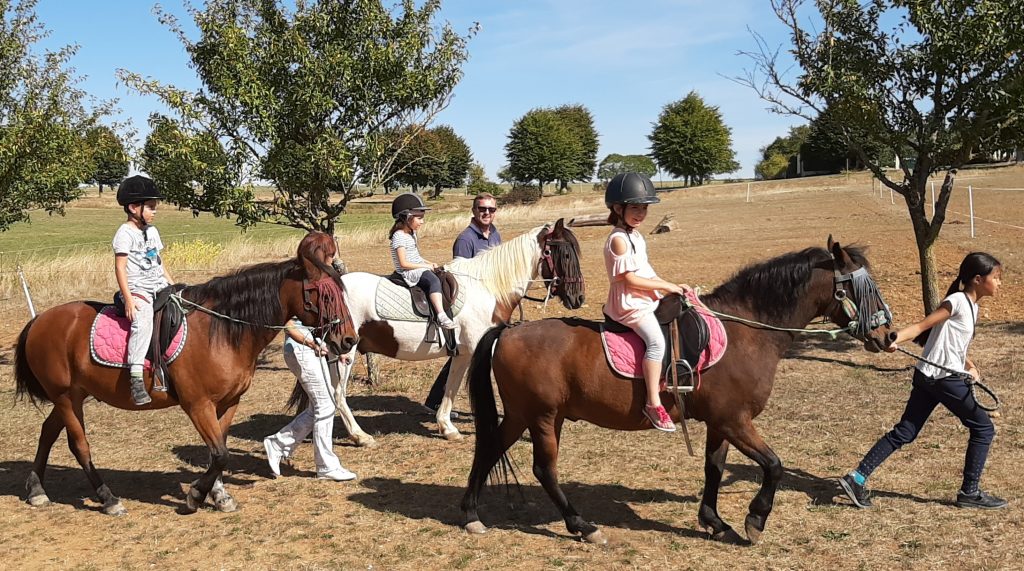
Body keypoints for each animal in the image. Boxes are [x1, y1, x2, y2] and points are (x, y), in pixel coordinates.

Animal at [9, 237, 356, 519]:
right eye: (323, 294)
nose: (348, 340)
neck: (222, 331)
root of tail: (40, 320)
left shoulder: (228, 403)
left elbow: (218, 451)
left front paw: (219, 496)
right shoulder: (197, 404)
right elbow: (220, 454)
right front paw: (194, 497)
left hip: (72, 395)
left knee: (47, 432)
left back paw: (37, 490)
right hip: (66, 397)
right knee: (79, 446)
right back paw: (108, 499)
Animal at [327, 220, 585, 444]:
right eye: (566, 254)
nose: (578, 298)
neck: (487, 287)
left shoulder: (462, 353)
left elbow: (451, 384)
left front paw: (446, 427)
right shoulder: (475, 351)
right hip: (345, 354)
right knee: (338, 394)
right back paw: (360, 436)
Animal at [460, 237, 892, 544]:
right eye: (864, 287)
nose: (887, 335)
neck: (746, 330)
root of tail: (508, 331)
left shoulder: (722, 423)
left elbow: (714, 468)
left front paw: (714, 521)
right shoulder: (736, 421)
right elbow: (774, 465)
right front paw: (755, 519)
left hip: (526, 415)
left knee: (490, 448)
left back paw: (472, 514)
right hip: (542, 417)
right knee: (543, 469)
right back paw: (581, 525)